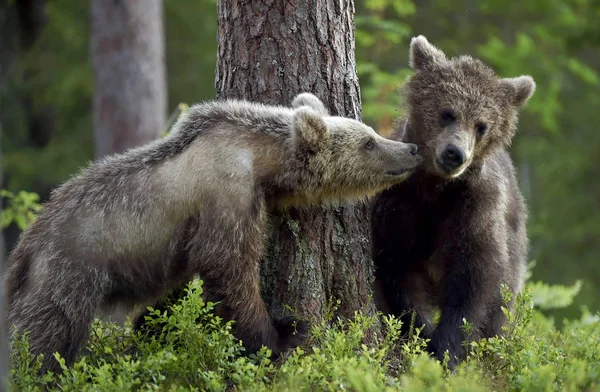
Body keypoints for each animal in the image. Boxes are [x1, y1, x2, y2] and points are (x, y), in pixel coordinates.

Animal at [7, 92, 424, 374]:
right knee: (45, 334)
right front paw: (281, 333)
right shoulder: (227, 196)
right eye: (368, 141)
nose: (412, 147)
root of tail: (25, 245)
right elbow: (230, 269)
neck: (259, 160)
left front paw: (155, 328)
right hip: (69, 272)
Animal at [370, 35, 536, 370]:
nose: (455, 154)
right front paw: (422, 332)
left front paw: (447, 347)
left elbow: (473, 277)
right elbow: (398, 268)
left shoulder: (474, 207)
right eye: (448, 112)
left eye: (482, 125)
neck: (436, 189)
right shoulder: (400, 204)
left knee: (503, 305)